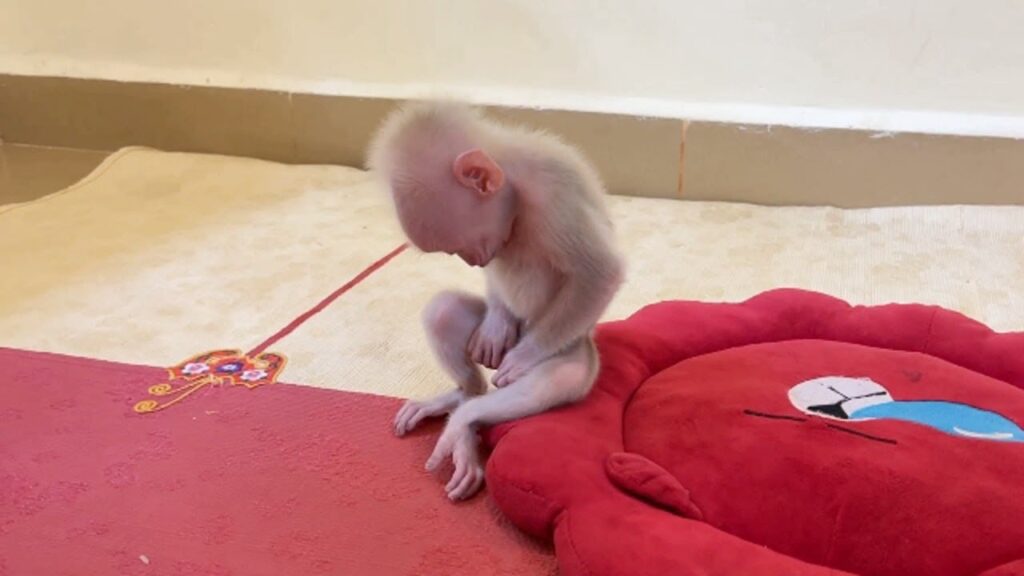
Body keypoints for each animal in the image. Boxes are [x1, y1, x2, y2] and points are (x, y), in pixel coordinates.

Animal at [367, 102, 625, 501]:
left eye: (458, 246)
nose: (472, 260)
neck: (515, 185)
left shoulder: (555, 192)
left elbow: (600, 273)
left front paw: (523, 356)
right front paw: (495, 326)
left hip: (572, 346)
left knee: (560, 374)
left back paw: (463, 423)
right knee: (443, 315)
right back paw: (460, 399)